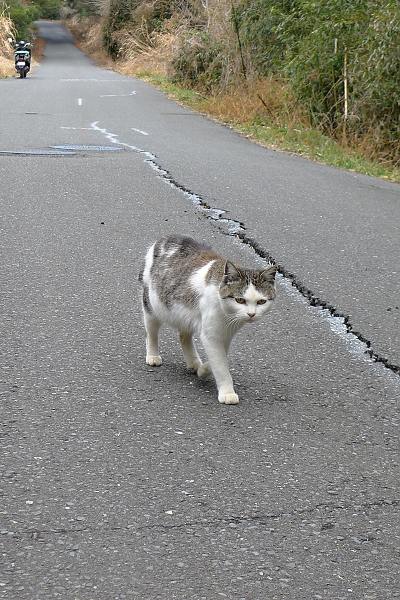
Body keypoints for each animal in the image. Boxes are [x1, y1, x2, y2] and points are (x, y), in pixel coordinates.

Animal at [139, 237, 276, 406]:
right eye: (240, 300)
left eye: (261, 301)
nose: (251, 314)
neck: (227, 315)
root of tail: (166, 238)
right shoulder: (211, 335)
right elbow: (221, 365)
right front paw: (227, 392)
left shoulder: (225, 334)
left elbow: (218, 360)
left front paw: (203, 370)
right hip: (152, 304)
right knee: (151, 331)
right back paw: (153, 355)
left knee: (184, 335)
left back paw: (193, 362)